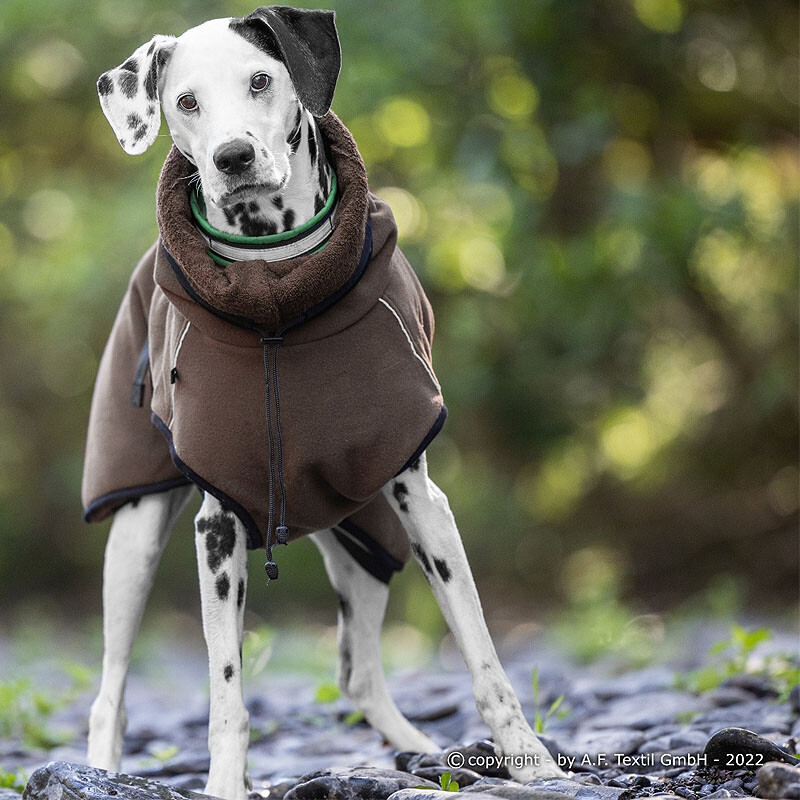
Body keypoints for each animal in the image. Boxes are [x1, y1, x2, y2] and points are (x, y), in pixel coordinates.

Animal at [86, 7, 564, 800]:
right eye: (184, 100)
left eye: (261, 79)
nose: (234, 158)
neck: (278, 292)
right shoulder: (218, 530)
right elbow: (226, 695)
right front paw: (226, 783)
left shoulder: (421, 502)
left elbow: (484, 656)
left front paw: (532, 760)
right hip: (134, 540)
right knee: (110, 692)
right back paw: (95, 771)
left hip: (368, 541)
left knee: (358, 672)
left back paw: (419, 752)